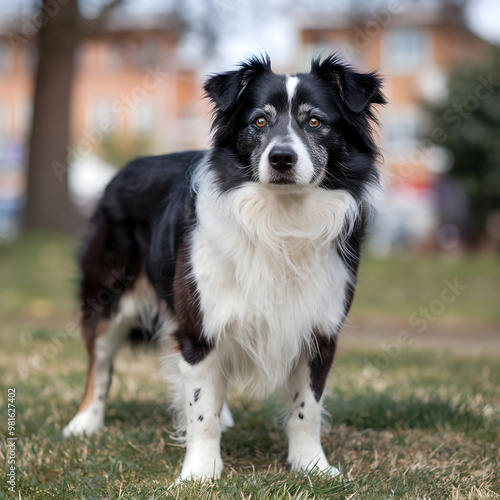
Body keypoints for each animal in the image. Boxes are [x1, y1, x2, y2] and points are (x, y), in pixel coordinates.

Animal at [64, 54, 384, 480]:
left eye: (315, 121)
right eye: (259, 121)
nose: (282, 158)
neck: (281, 219)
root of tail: (124, 168)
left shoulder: (319, 328)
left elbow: (307, 408)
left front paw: (311, 465)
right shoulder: (199, 326)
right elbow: (201, 411)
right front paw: (199, 472)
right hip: (108, 298)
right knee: (99, 364)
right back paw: (85, 422)